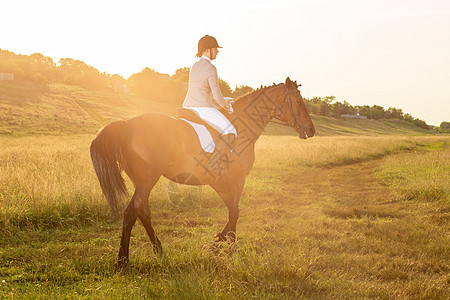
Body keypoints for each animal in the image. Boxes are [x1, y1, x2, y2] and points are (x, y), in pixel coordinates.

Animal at [89, 76, 314, 266]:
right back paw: (123, 261)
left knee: (142, 212)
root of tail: (127, 124)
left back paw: (160, 252)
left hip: (142, 182)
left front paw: (218, 242)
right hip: (147, 180)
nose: (311, 130)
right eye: (299, 101)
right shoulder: (236, 179)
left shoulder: (221, 182)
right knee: (131, 213)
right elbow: (234, 212)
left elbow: (233, 211)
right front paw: (228, 246)